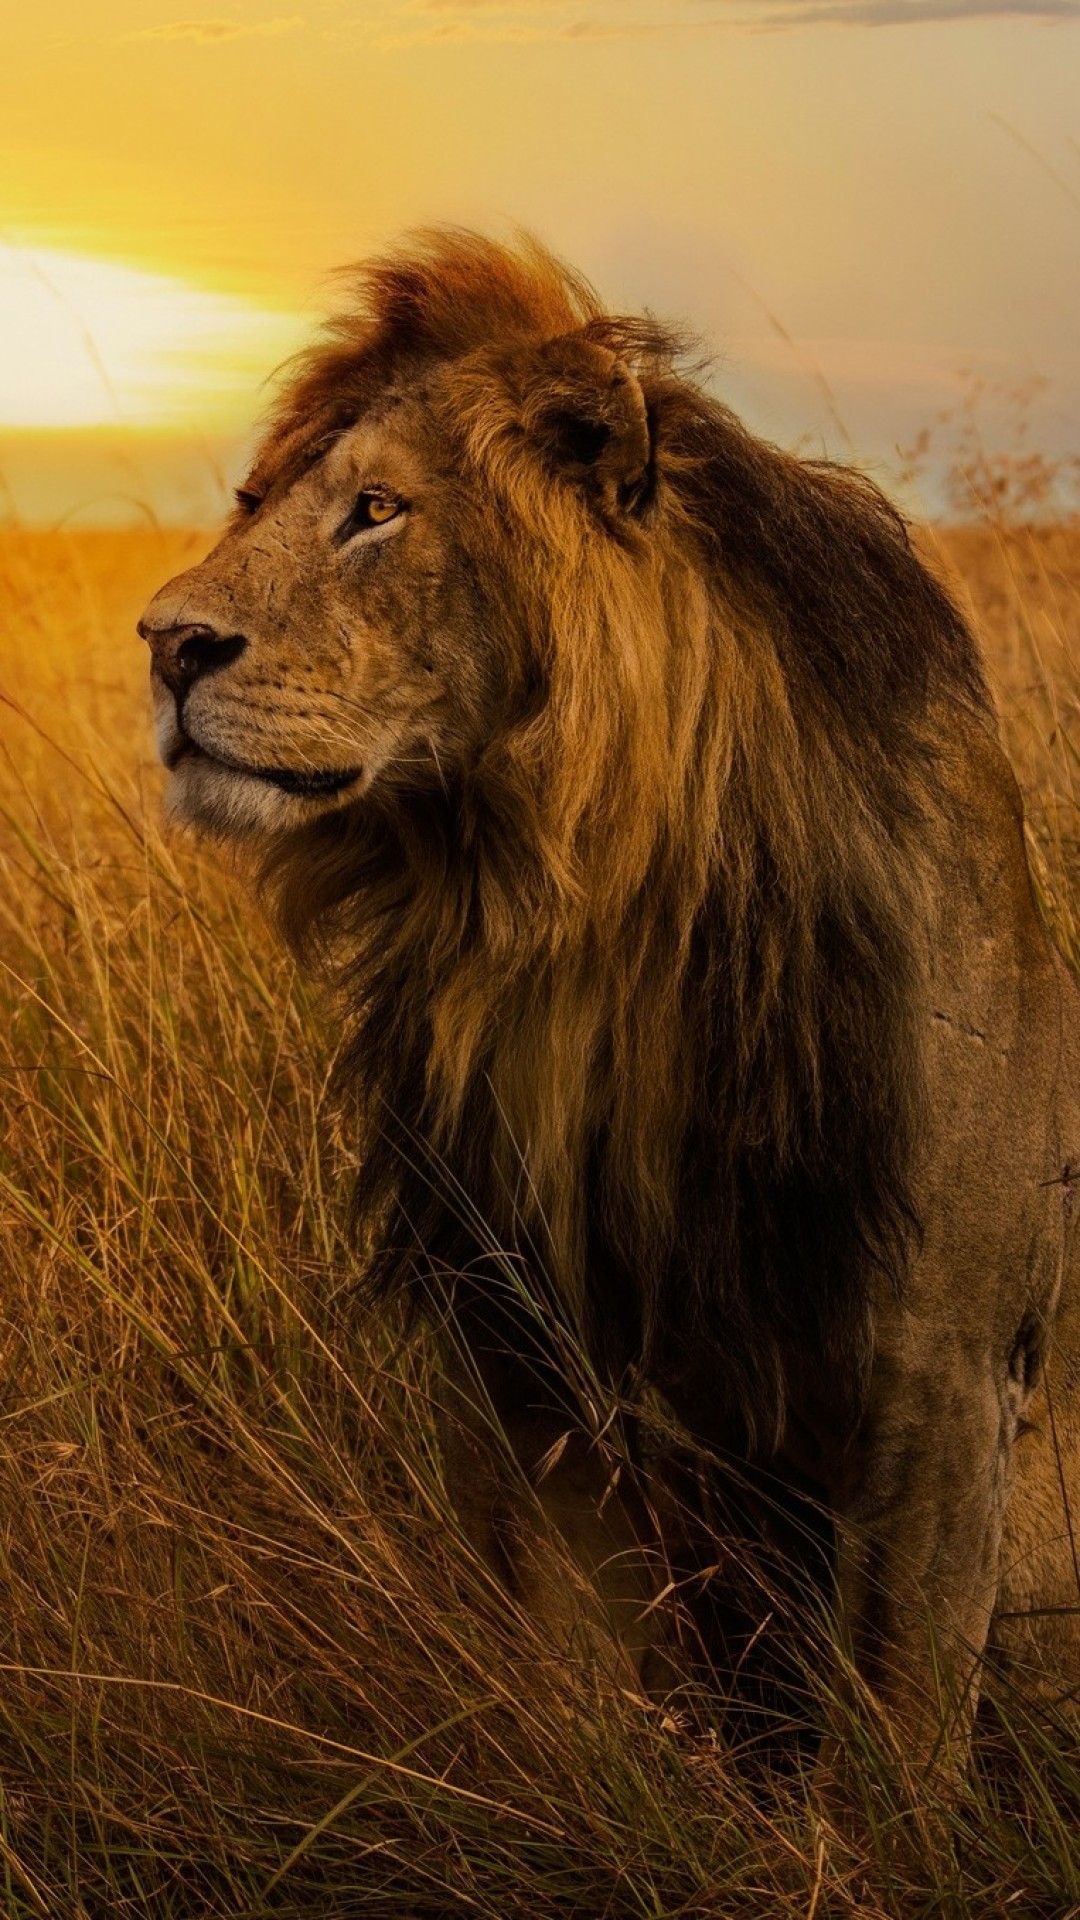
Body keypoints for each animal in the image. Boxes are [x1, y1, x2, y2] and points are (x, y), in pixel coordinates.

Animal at [137, 228, 1080, 1782]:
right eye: (255, 504)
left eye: (376, 512)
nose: (162, 644)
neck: (560, 928)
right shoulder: (514, 1348)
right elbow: (577, 1685)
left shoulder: (946, 1375)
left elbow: (893, 1746)